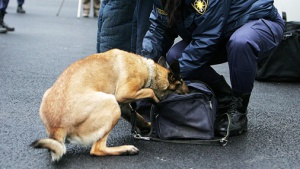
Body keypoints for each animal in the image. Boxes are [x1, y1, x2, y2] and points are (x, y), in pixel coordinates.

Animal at [31, 48, 189, 161]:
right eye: (181, 82)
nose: (190, 90)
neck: (150, 71)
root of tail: (57, 127)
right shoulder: (123, 94)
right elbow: (150, 91)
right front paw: (155, 100)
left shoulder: (124, 106)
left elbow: (138, 117)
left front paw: (148, 125)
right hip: (111, 104)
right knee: (97, 149)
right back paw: (126, 149)